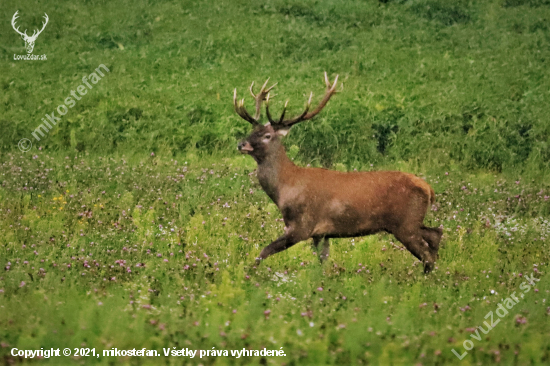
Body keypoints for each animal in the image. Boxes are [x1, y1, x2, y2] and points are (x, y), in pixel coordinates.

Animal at [234, 73, 444, 274]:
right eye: (252, 130)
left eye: (267, 136)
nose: (241, 144)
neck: (285, 188)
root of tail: (429, 189)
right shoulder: (321, 232)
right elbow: (322, 263)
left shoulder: (302, 226)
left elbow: (264, 251)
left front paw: (249, 275)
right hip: (410, 222)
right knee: (435, 234)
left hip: (405, 223)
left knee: (427, 254)